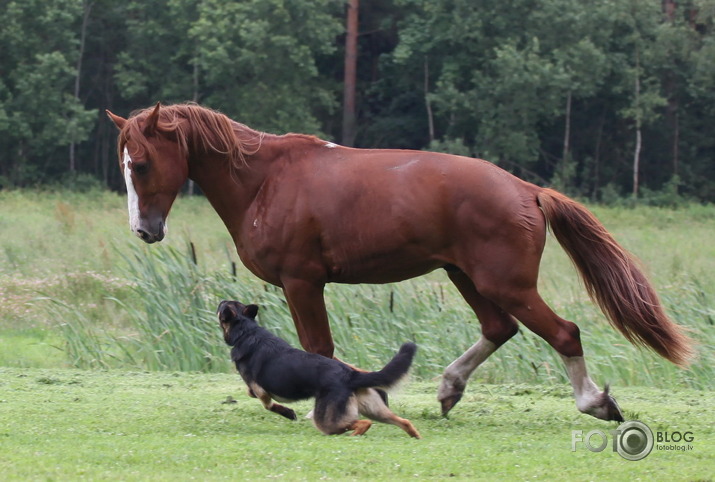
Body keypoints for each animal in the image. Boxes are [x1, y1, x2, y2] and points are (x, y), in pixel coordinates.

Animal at [107, 102, 692, 422]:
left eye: (141, 164)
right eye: (125, 164)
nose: (144, 230)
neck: (266, 181)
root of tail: (527, 190)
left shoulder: (302, 282)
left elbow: (319, 349)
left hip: (505, 283)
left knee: (563, 333)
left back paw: (594, 403)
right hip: (467, 277)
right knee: (498, 329)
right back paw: (449, 388)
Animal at [218, 300, 420, 438]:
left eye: (222, 306)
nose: (221, 300)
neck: (246, 331)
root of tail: (350, 374)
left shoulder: (261, 391)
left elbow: (267, 404)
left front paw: (288, 413)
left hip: (327, 420)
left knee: (362, 423)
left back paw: (353, 435)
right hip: (374, 408)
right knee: (402, 421)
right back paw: (414, 436)